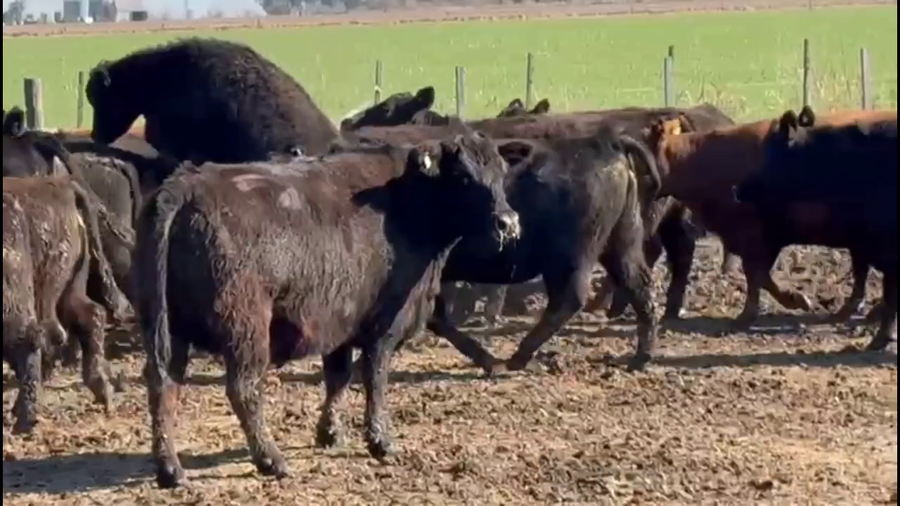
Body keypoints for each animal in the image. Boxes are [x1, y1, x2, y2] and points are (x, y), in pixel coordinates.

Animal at [3, 176, 129, 433]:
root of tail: (61, 185)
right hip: (65, 289)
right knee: (90, 317)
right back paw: (103, 392)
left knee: (31, 339)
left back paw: (25, 418)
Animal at [134, 131, 520, 488]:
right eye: (463, 176)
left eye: (501, 172)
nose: (508, 223)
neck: (404, 197)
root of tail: (186, 185)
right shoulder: (383, 327)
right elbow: (374, 378)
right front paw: (381, 440)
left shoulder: (340, 326)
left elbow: (338, 378)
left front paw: (331, 433)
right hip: (245, 331)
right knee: (243, 389)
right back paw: (271, 460)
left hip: (167, 332)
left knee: (163, 385)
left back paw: (171, 470)